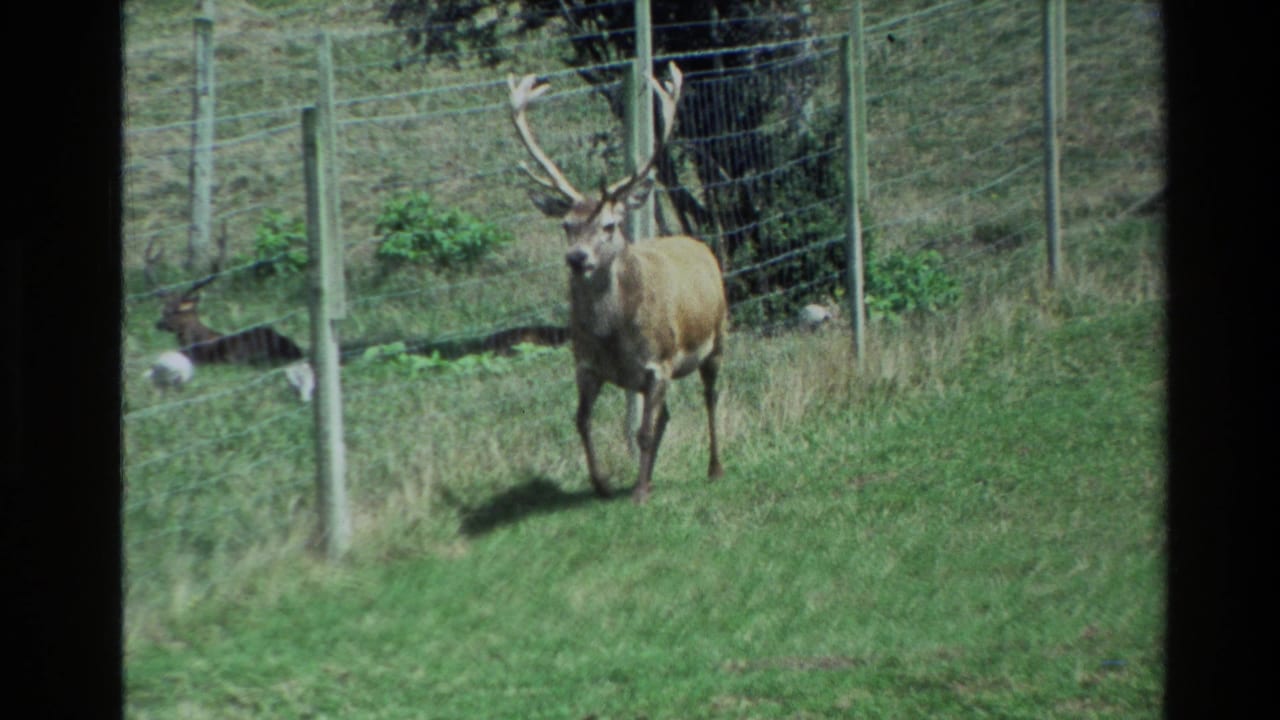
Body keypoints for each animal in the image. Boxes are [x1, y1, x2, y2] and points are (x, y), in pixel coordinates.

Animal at [508, 62, 728, 504]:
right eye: (566, 225)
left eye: (609, 225)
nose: (577, 258)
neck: (613, 335)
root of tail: (697, 242)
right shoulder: (587, 365)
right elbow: (581, 420)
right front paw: (604, 483)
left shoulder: (659, 362)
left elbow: (641, 432)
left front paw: (639, 492)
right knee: (667, 415)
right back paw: (654, 475)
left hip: (717, 336)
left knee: (711, 396)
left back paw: (714, 468)